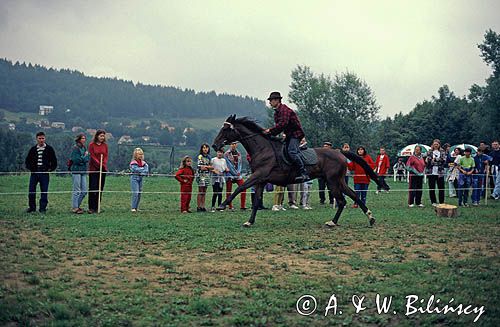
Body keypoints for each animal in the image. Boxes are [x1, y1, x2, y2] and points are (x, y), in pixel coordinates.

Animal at [212, 115, 390, 228]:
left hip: (333, 181)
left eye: (225, 130)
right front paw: (249, 221)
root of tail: (339, 151)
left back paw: (333, 222)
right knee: (353, 195)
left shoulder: (258, 176)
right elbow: (256, 201)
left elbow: (241, 188)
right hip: (338, 180)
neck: (263, 148)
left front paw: (221, 205)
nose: (214, 145)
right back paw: (370, 218)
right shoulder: (261, 180)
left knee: (341, 201)